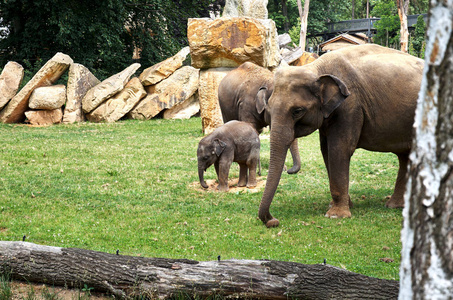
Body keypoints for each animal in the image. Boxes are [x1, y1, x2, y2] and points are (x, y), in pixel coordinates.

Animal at [258, 44, 424, 227]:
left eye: (297, 111)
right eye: (268, 111)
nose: (273, 221)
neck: (316, 68)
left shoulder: (350, 106)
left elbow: (339, 149)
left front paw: (336, 215)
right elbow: (326, 151)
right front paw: (340, 205)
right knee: (405, 156)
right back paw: (395, 206)